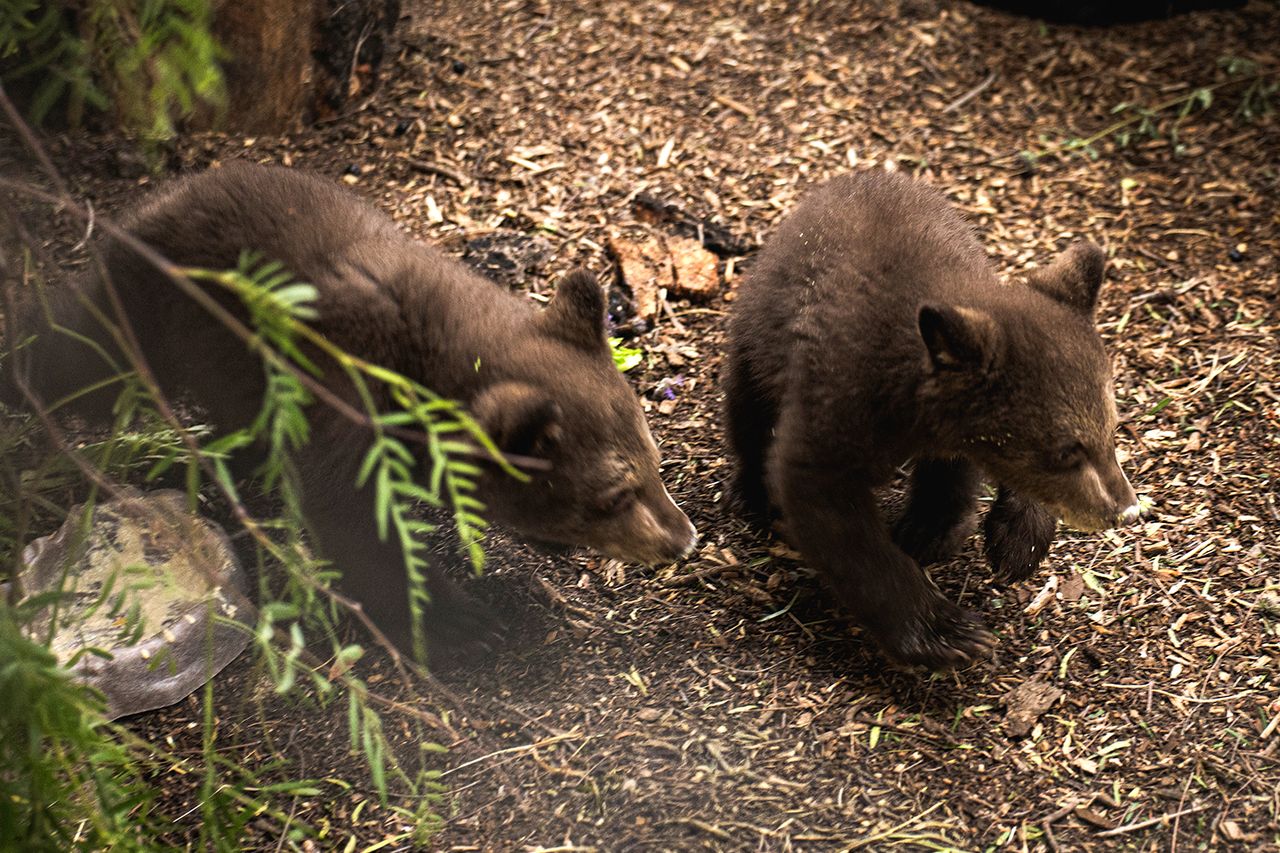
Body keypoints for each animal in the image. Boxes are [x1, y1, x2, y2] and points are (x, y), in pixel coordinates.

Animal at [6, 161, 698, 654]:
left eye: (655, 460)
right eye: (614, 493)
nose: (683, 540)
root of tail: (147, 204)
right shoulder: (341, 405)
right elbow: (354, 522)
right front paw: (457, 620)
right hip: (146, 312)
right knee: (78, 357)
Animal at [723, 169, 1140, 670]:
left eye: (1112, 429)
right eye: (1064, 451)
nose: (1125, 509)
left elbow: (959, 466)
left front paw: (1015, 540)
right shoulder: (836, 400)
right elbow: (834, 515)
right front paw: (946, 631)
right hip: (756, 343)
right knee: (747, 413)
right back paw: (749, 491)